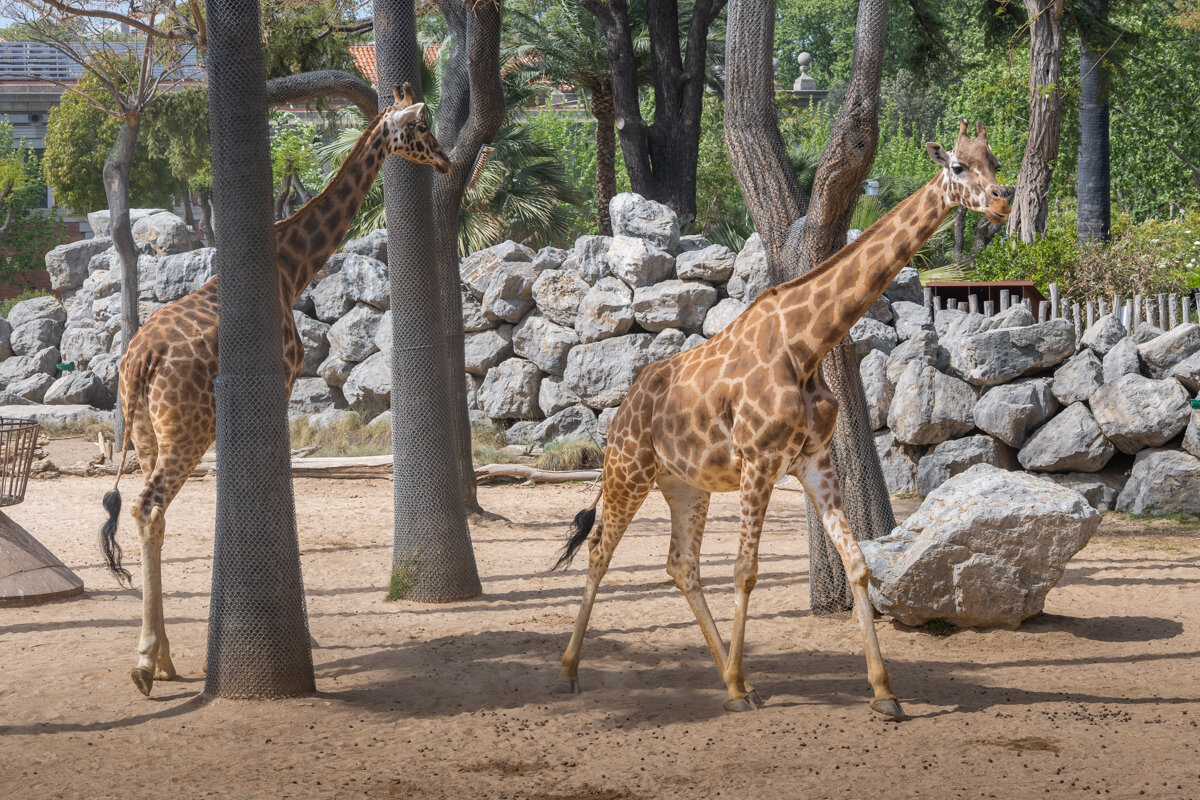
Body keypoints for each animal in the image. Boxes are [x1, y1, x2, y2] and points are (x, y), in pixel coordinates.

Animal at [97, 86, 451, 695]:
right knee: (148, 505)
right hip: (185, 431)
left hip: (147, 432)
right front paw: (307, 639)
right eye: (422, 126)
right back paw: (146, 661)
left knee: (149, 513)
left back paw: (163, 658)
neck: (291, 267)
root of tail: (140, 360)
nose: (448, 160)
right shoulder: (282, 387)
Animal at [556, 120, 1008, 719]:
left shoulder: (813, 460)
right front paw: (740, 682)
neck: (807, 344)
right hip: (628, 469)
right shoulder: (759, 461)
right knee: (599, 549)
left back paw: (731, 680)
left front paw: (884, 693)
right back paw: (571, 673)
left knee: (682, 565)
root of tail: (626, 403)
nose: (1003, 200)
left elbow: (858, 564)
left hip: (684, 484)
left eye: (995, 162)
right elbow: (746, 572)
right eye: (958, 166)